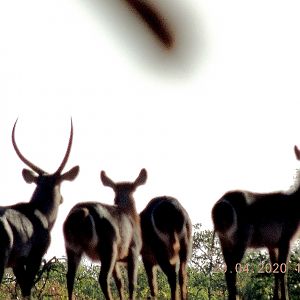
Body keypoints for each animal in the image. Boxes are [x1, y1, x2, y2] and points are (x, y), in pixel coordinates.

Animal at [0, 119, 79, 298]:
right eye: (60, 184)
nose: (62, 198)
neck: (42, 213)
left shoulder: (17, 263)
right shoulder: (35, 257)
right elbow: (27, 290)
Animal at [63, 169, 148, 300]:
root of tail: (82, 213)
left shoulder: (117, 259)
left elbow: (119, 281)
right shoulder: (134, 249)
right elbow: (132, 283)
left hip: (71, 246)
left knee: (70, 276)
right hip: (108, 246)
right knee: (103, 278)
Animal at [211, 145, 300, 298]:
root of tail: (220, 206)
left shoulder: (272, 244)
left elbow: (275, 270)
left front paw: (275, 297)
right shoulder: (285, 239)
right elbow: (283, 271)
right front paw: (284, 297)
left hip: (224, 242)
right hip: (240, 241)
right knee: (231, 272)